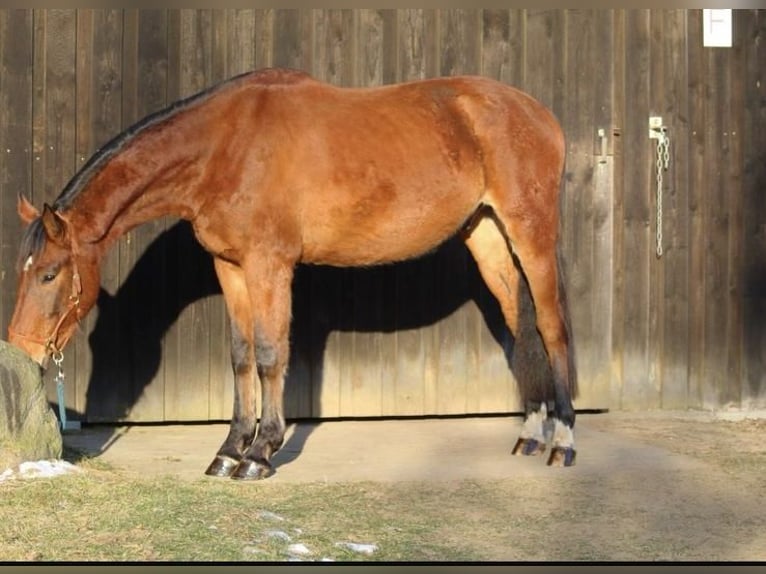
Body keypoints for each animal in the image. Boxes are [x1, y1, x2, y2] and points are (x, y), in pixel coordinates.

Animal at [9, 68, 580, 482]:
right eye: (24, 270)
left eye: (50, 275)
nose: (22, 348)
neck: (225, 146)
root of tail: (539, 114)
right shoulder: (231, 267)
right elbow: (241, 356)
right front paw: (228, 450)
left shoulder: (270, 265)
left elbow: (269, 355)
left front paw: (261, 453)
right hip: (486, 237)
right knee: (521, 329)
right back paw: (532, 433)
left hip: (531, 235)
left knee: (552, 329)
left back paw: (564, 441)